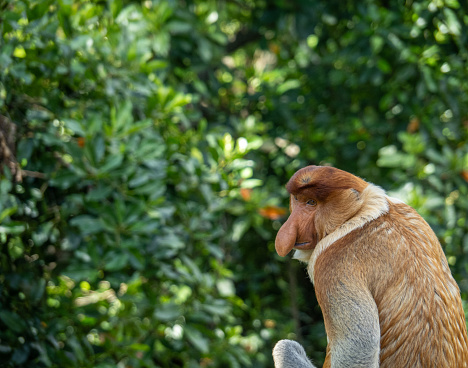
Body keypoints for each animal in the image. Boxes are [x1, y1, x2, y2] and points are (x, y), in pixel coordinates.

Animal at [272, 167, 468, 368]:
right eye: (297, 199)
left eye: (311, 202)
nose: (286, 231)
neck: (363, 212)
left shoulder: (332, 263)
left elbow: (358, 346)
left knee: (285, 347)